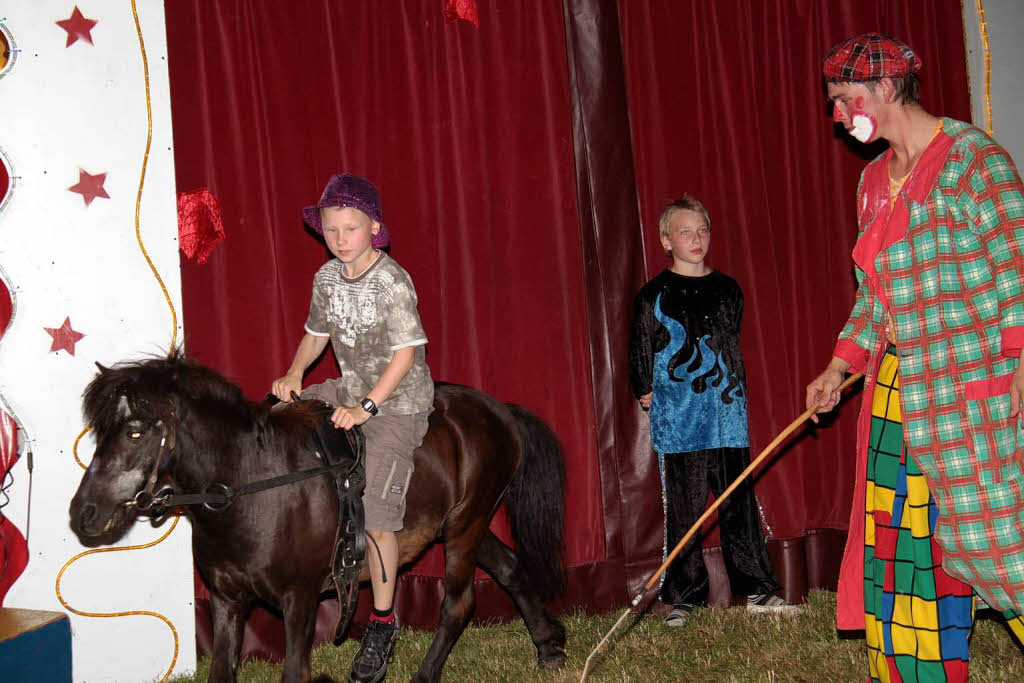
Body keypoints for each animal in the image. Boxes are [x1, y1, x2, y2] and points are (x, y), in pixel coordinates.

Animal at [67, 356, 569, 679]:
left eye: (135, 432)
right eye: (101, 432)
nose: (83, 512)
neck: (249, 487)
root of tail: (498, 410)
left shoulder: (300, 600)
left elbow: (294, 671)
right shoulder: (228, 601)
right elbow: (222, 671)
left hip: (466, 526)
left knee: (458, 604)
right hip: (465, 523)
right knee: (509, 567)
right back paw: (548, 645)